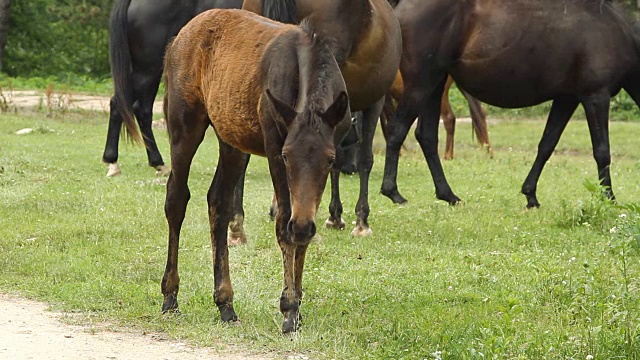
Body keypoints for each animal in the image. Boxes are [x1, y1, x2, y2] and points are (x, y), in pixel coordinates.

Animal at [159, 9, 350, 334]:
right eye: (286, 156)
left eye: (330, 159)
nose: (303, 226)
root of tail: (176, 39)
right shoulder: (273, 146)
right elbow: (284, 222)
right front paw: (288, 308)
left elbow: (301, 224)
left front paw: (298, 308)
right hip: (185, 124)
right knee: (176, 198)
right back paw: (170, 296)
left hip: (231, 140)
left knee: (218, 202)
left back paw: (225, 303)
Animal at [380, 0, 640, 208]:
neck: (618, 33)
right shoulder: (596, 96)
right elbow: (602, 151)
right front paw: (609, 199)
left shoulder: (566, 99)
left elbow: (547, 145)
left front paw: (530, 195)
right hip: (421, 84)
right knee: (397, 131)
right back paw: (393, 193)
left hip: (435, 85)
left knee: (426, 136)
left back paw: (448, 195)